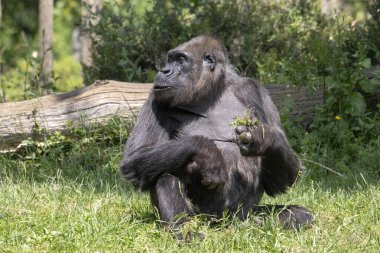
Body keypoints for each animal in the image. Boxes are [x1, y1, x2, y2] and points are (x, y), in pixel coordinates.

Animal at [120, 35, 314, 239]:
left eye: (180, 60)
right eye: (170, 60)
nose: (164, 71)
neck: (210, 93)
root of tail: (222, 224)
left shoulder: (255, 90)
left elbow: (280, 181)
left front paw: (265, 139)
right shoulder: (156, 97)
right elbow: (135, 157)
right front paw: (207, 152)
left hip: (242, 213)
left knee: (302, 214)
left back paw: (254, 225)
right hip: (202, 218)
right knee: (164, 176)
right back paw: (184, 232)